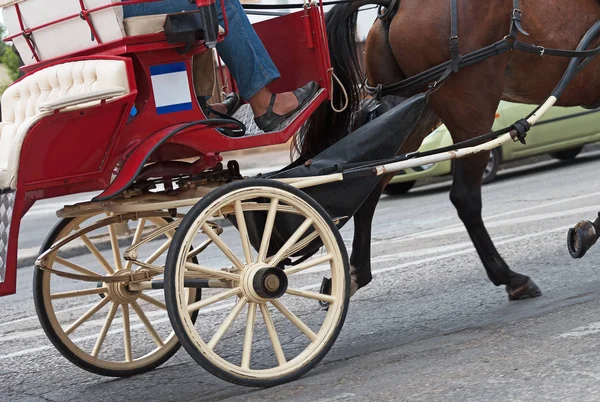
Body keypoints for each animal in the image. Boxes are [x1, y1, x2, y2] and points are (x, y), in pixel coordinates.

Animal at [298, 0, 600, 298]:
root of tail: (393, 6)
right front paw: (590, 230)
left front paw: (588, 231)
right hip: (471, 118)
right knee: (465, 199)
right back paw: (510, 277)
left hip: (413, 111)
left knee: (372, 184)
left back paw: (355, 274)